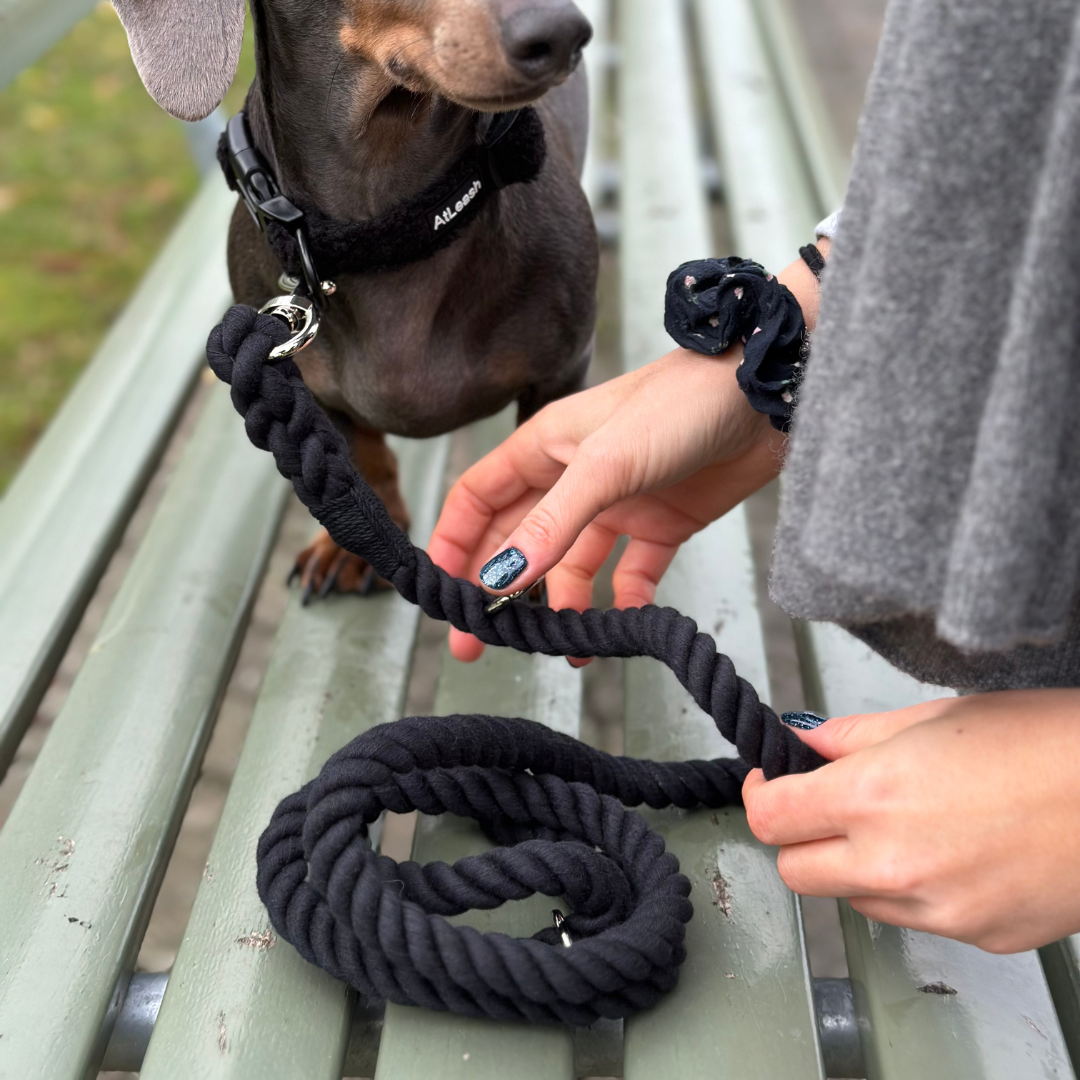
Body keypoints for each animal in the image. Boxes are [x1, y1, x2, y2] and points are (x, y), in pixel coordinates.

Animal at [116, 0, 600, 596]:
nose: (562, 35)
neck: (396, 233)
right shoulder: (316, 390)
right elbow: (367, 458)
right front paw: (359, 549)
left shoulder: (562, 375)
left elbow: (545, 474)